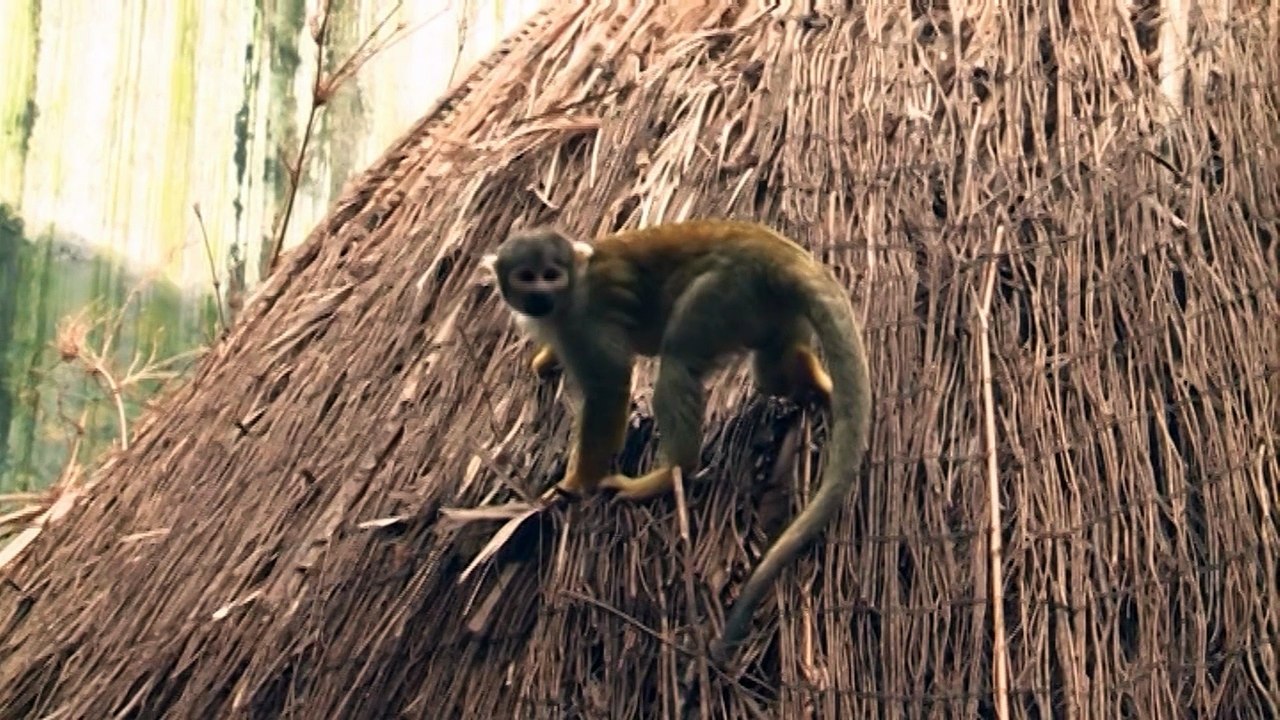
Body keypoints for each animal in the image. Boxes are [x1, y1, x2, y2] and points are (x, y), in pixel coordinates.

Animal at [480, 219, 872, 663]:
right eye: (527, 276)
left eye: (551, 274)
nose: (540, 294)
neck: (568, 296)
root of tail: (776, 249)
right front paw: (546, 358)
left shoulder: (585, 320)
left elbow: (610, 388)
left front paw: (575, 484)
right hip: (771, 304)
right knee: (771, 370)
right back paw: (813, 380)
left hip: (729, 289)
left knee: (679, 359)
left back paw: (671, 473)